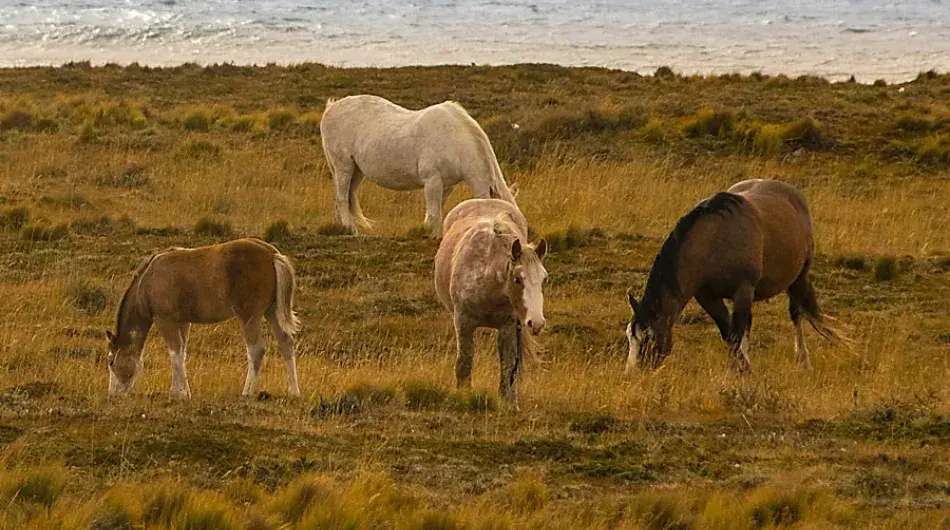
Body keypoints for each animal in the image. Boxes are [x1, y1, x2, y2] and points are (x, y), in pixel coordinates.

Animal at [105, 238, 301, 398]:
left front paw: (182, 394)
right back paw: (294, 392)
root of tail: (271, 254)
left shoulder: (164, 320)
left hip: (249, 315)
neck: (148, 281)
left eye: (111, 362)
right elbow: (181, 353)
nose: (113, 394)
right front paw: (177, 391)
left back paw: (247, 392)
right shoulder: (182, 322)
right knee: (285, 343)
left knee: (256, 349)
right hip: (271, 311)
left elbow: (174, 353)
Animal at [320, 94, 518, 238]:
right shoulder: (432, 182)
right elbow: (434, 214)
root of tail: (331, 108)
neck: (454, 140)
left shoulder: (446, 186)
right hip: (343, 166)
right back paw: (351, 230)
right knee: (341, 198)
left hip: (356, 171)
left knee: (344, 197)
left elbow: (439, 212)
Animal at [434, 198, 547, 406]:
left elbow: (508, 363)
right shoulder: (463, 322)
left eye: (545, 279)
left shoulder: (508, 326)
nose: (536, 323)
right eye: (517, 279)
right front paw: (464, 396)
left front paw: (509, 402)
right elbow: (464, 361)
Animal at [625, 179, 845, 373]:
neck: (713, 242)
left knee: (796, 313)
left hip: (798, 277)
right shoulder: (708, 297)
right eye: (629, 336)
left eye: (649, 337)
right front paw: (742, 368)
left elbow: (734, 335)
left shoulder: (743, 290)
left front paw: (736, 372)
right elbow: (728, 332)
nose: (633, 373)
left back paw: (803, 362)